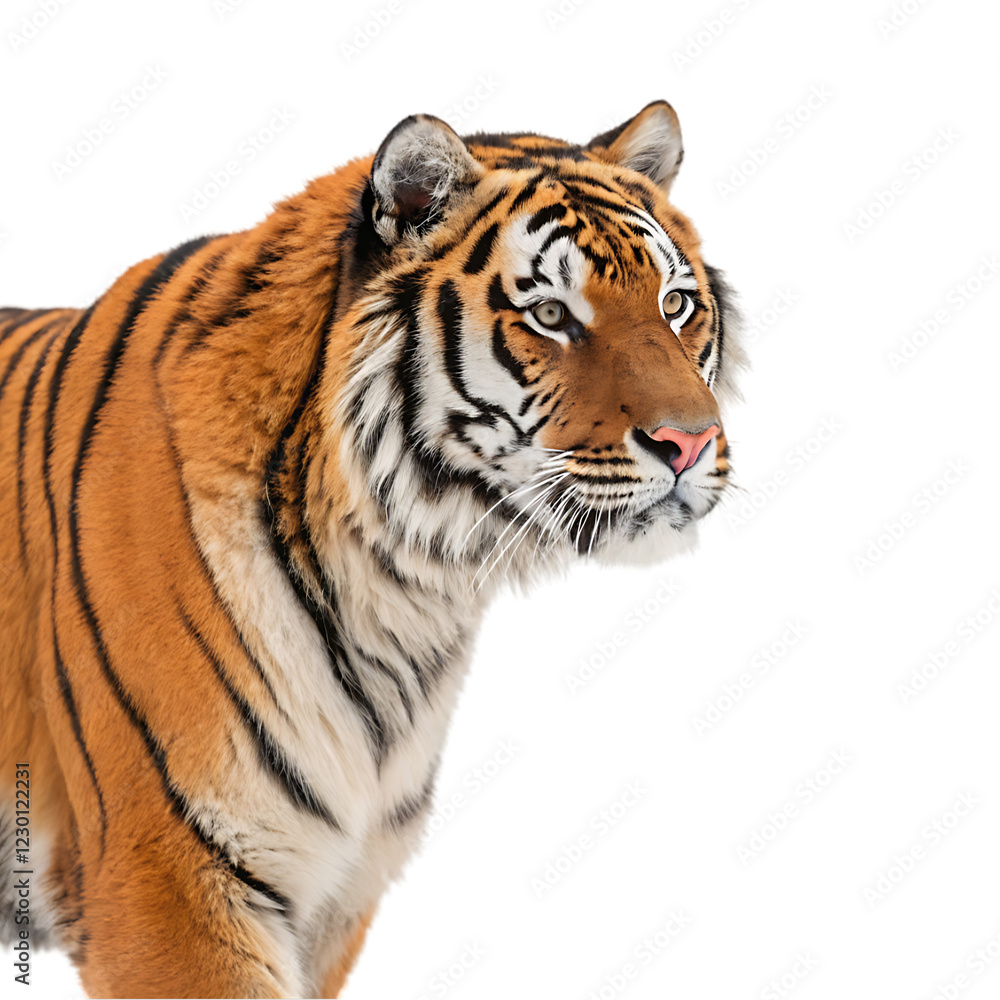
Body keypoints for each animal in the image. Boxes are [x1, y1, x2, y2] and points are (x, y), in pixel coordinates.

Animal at [0, 100, 744, 997]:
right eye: (551, 316)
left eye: (675, 304)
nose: (690, 443)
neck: (400, 587)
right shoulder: (166, 880)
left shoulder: (334, 895)